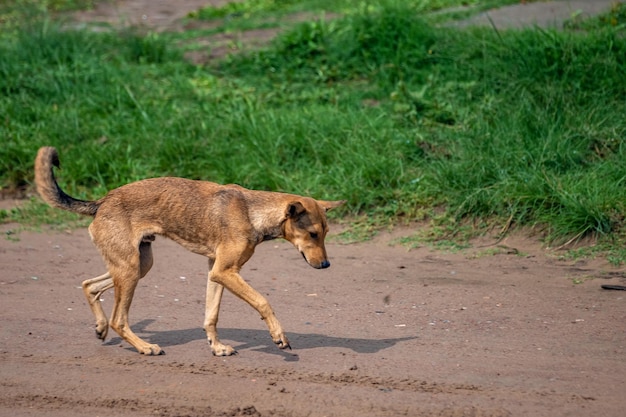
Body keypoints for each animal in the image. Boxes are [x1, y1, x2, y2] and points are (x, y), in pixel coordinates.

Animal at [36, 145, 344, 354]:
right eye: (313, 234)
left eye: (326, 234)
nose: (326, 265)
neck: (252, 212)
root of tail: (102, 201)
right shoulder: (226, 272)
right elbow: (263, 301)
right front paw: (278, 336)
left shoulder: (217, 273)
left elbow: (211, 315)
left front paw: (217, 347)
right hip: (129, 270)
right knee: (118, 320)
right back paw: (144, 346)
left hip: (137, 265)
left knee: (89, 285)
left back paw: (101, 328)